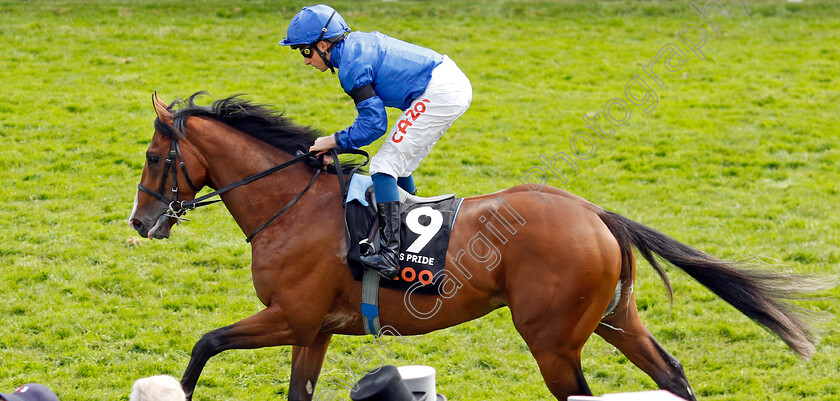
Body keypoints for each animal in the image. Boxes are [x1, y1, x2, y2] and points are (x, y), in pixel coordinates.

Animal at [128, 93, 824, 400]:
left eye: (156, 158)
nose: (140, 222)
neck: (291, 208)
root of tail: (595, 212)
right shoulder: (314, 329)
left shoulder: (290, 316)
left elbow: (205, 343)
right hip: (614, 318)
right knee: (672, 374)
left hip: (552, 340)